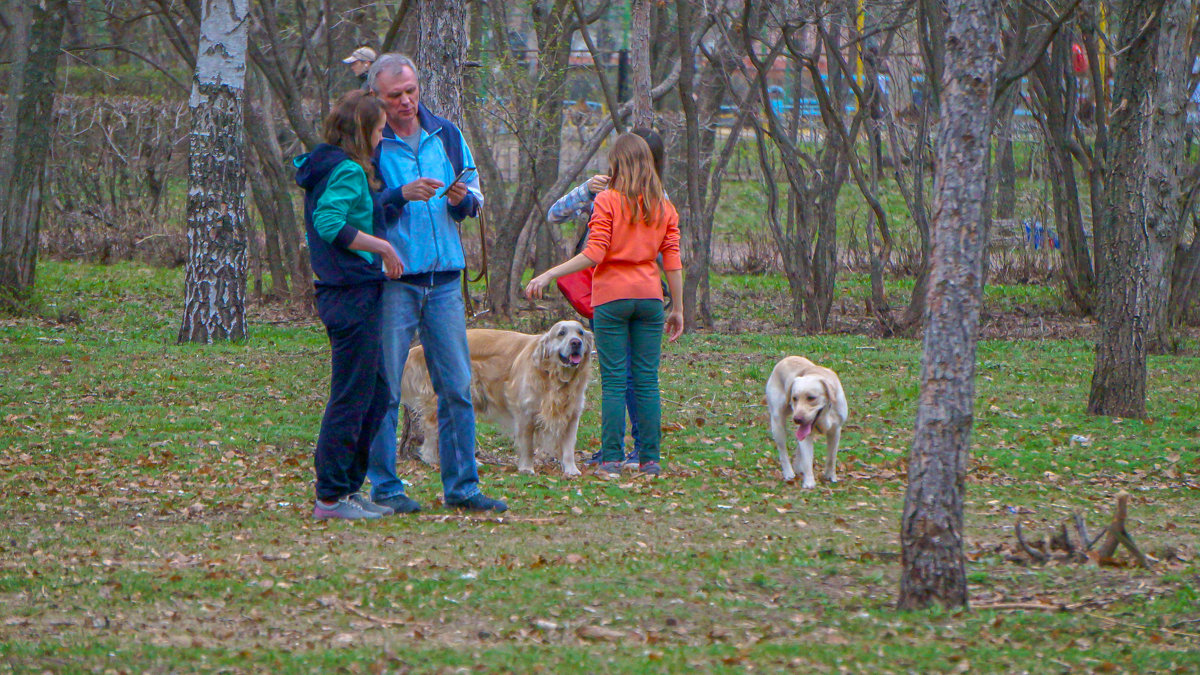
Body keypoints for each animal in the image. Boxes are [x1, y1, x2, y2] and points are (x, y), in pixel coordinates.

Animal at [400, 319, 592, 473]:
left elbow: (569, 447)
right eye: (561, 333)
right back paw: (433, 459)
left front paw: (571, 470)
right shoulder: (525, 413)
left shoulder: (573, 415)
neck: (556, 378)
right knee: (432, 430)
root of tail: (421, 348)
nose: (576, 343)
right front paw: (527, 468)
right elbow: (528, 445)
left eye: (580, 332)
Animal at [763, 355, 849, 485]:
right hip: (777, 423)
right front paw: (809, 483)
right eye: (794, 398)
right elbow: (807, 459)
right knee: (783, 452)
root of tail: (786, 359)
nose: (797, 419)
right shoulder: (806, 434)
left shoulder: (835, 431)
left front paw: (830, 476)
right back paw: (789, 473)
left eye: (811, 398)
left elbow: (831, 457)